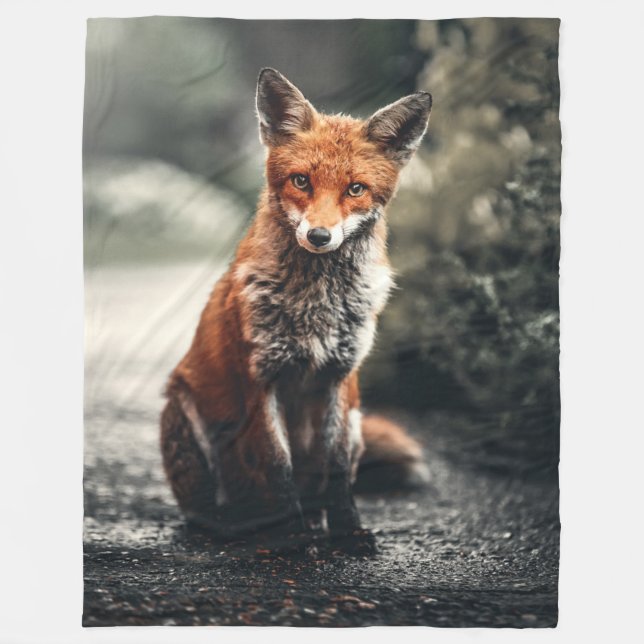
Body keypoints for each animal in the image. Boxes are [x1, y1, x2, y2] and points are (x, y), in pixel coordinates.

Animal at [160, 68, 432, 552]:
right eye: (301, 181)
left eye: (355, 189)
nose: (319, 236)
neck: (316, 304)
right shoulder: (261, 378)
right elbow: (277, 465)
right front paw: (292, 538)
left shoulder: (340, 377)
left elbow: (337, 470)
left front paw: (347, 531)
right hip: (184, 412)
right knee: (207, 507)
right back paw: (239, 523)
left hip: (357, 420)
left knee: (323, 486)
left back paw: (314, 520)